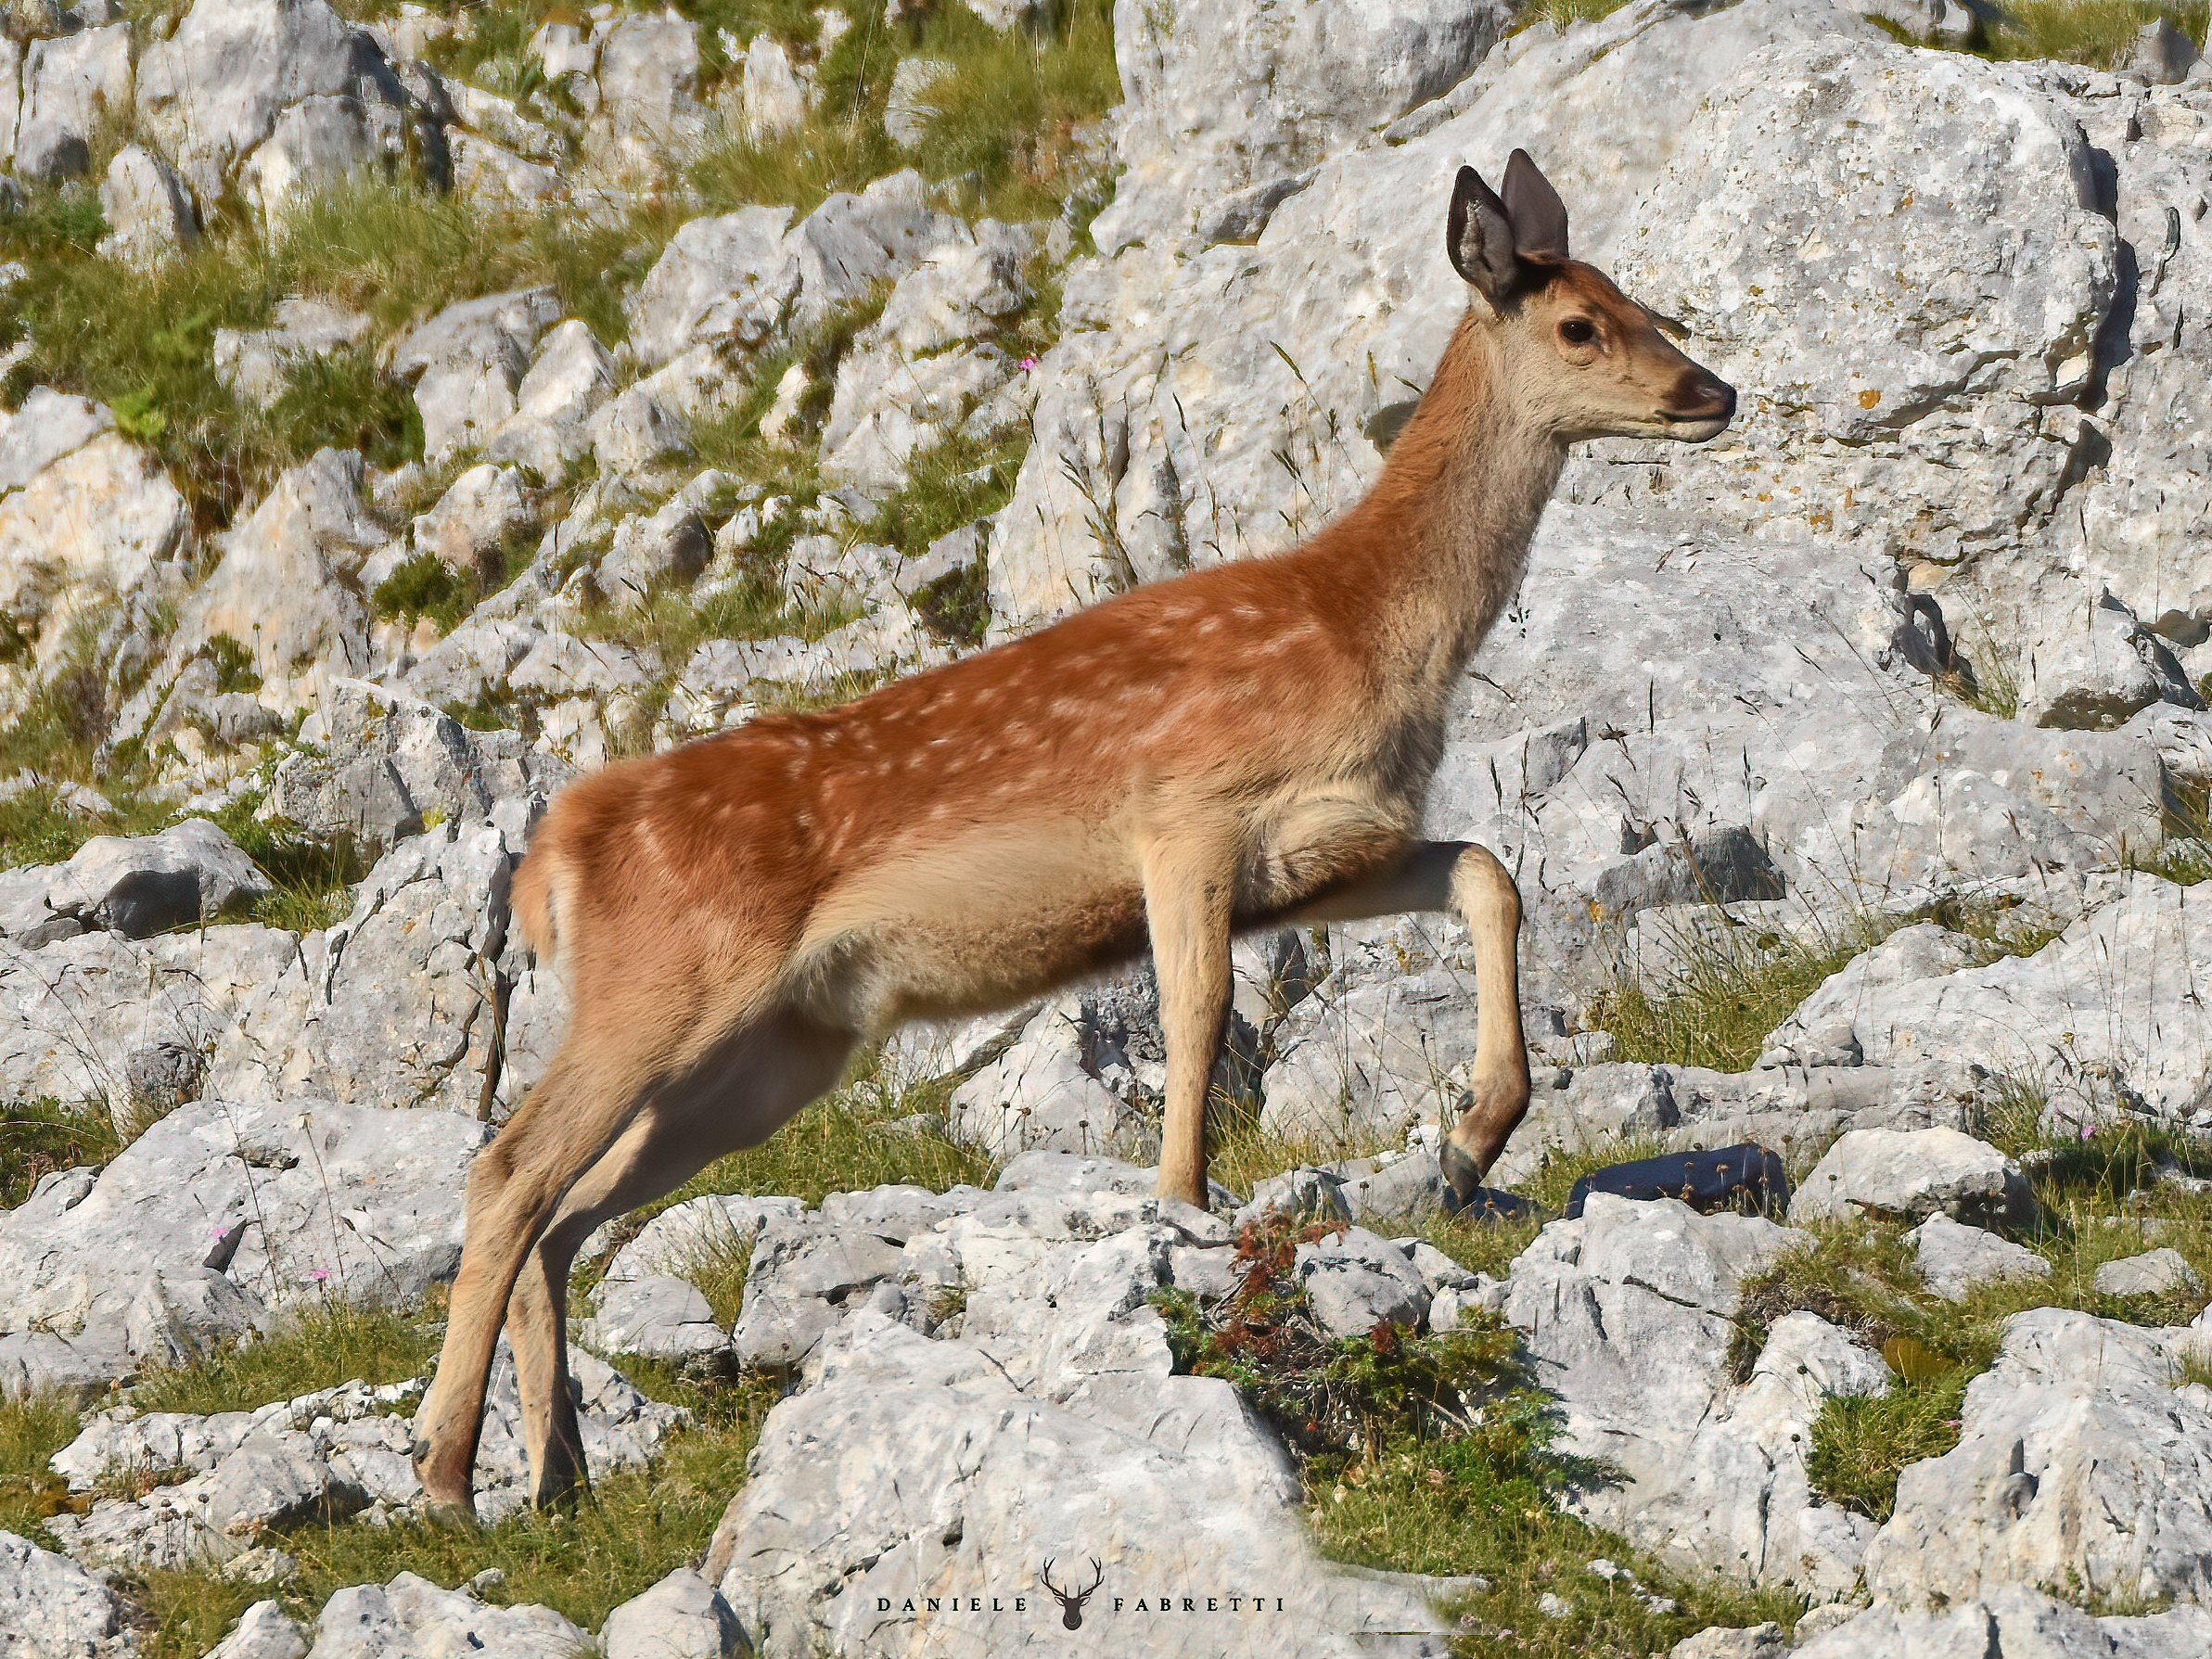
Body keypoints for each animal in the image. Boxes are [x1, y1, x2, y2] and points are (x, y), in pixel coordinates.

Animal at [409, 150, 1737, 1522]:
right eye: (1580, 324)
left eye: (1640, 302)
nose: (1715, 392)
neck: (1366, 629)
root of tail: (553, 856)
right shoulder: (1185, 810)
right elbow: (1199, 1009)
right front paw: (1181, 1207)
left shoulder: (1321, 849)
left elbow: (1488, 874)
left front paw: (1472, 1140)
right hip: (667, 980)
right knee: (509, 1170)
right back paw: (448, 1475)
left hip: (776, 1052)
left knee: (568, 1210)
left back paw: (559, 1475)